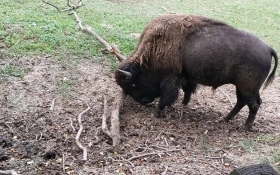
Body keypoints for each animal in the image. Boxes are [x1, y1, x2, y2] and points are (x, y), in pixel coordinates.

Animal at [114, 14, 278, 130]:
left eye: (134, 85)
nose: (143, 101)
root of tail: (268, 48)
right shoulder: (185, 77)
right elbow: (187, 89)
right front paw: (183, 103)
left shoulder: (171, 77)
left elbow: (168, 94)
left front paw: (159, 112)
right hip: (244, 88)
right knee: (244, 102)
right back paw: (225, 119)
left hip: (247, 87)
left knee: (253, 105)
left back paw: (245, 127)